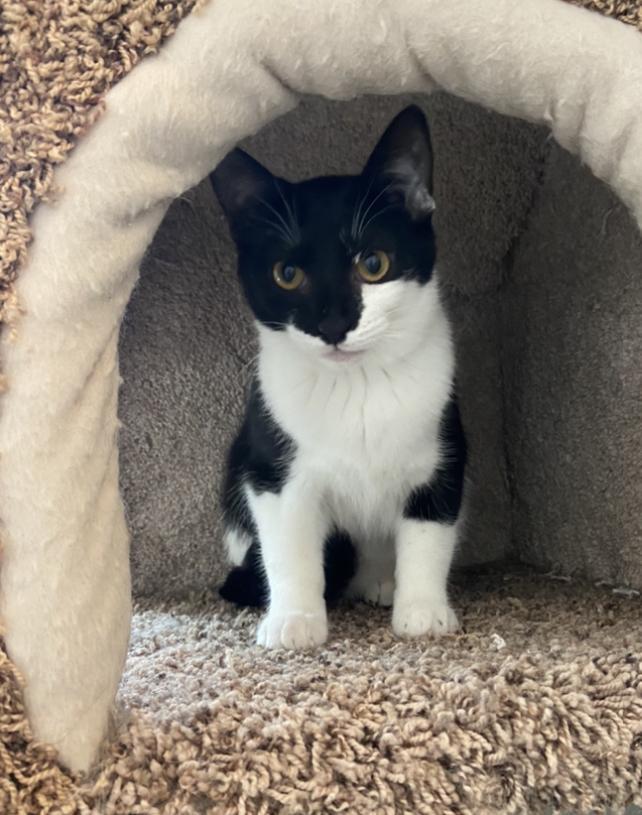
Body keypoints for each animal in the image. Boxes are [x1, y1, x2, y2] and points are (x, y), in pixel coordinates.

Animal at [210, 105, 464, 652]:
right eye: (286, 274)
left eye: (373, 264)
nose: (332, 325)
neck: (357, 386)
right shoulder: (271, 465)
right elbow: (288, 543)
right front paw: (294, 619)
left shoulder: (443, 449)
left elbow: (429, 531)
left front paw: (423, 612)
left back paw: (381, 581)